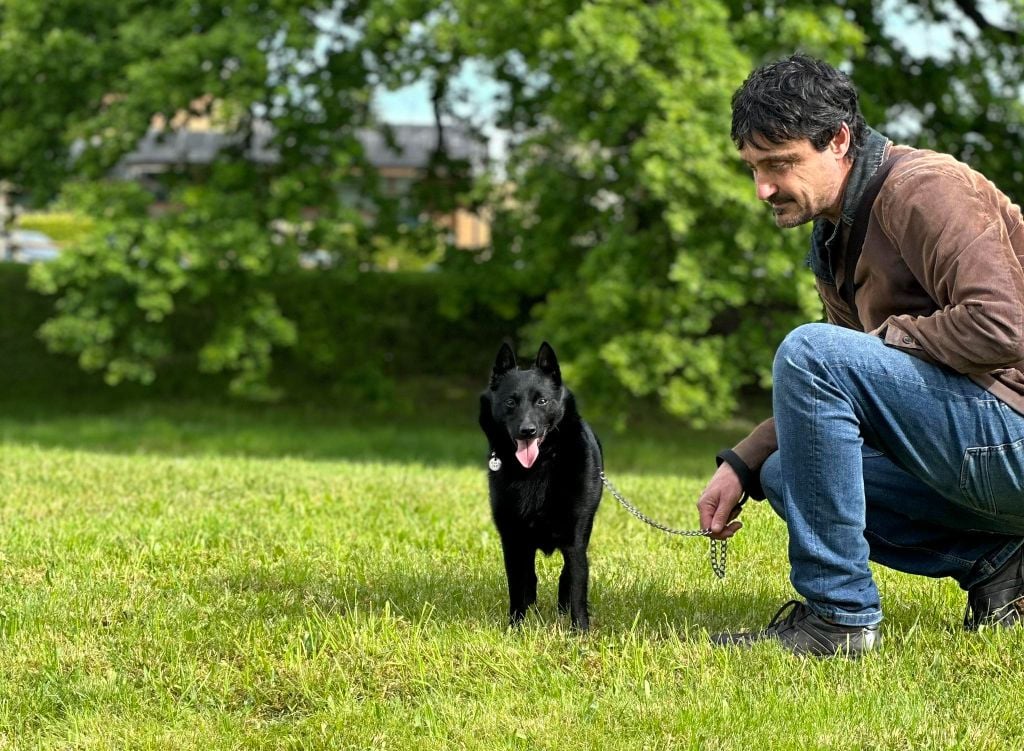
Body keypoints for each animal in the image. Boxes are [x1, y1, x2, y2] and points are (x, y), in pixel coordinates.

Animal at [477, 342, 602, 631]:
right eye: (510, 402)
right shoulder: (512, 540)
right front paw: (515, 627)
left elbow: (576, 585)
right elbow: (517, 586)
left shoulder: (575, 541)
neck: (539, 466)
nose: (528, 431)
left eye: (542, 401)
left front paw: (580, 632)